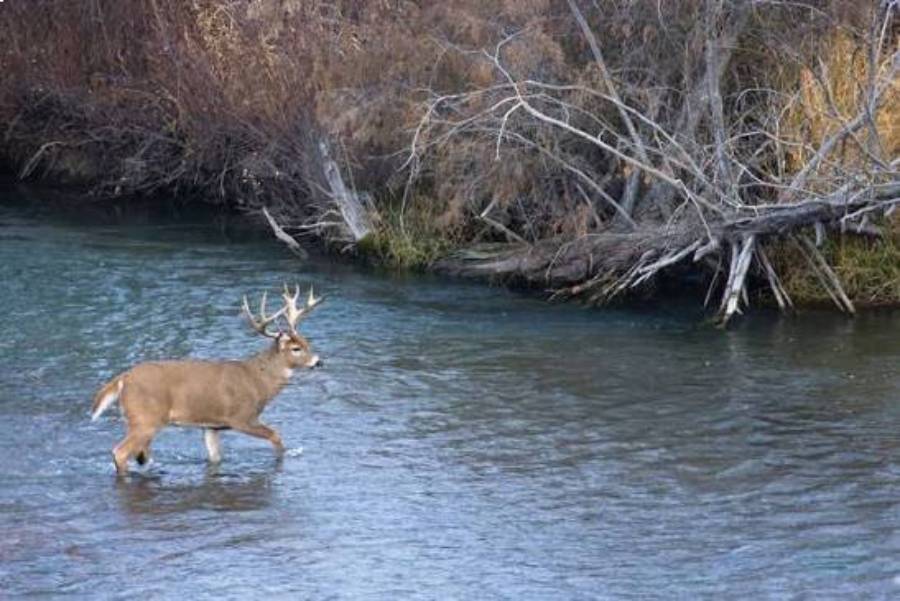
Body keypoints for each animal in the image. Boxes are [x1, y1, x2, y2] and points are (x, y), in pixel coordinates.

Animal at [90, 285, 324, 475]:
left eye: (307, 342)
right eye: (296, 348)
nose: (318, 362)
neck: (259, 381)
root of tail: (123, 378)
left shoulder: (211, 426)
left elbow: (215, 458)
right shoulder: (241, 417)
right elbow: (277, 437)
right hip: (146, 418)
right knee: (120, 452)